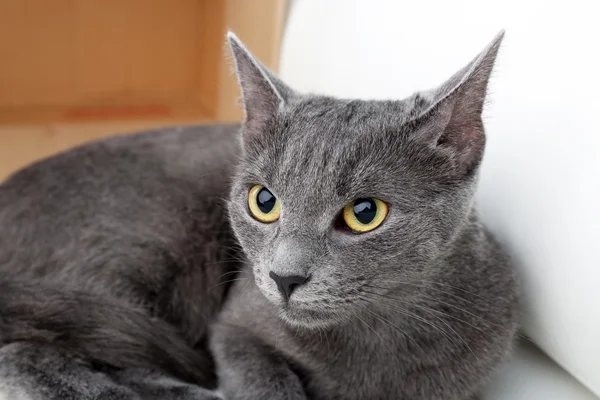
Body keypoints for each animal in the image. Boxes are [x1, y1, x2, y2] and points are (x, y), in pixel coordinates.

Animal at [0, 32, 516, 400]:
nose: (285, 277)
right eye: (263, 202)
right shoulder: (235, 324)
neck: (370, 339)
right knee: (26, 352)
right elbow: (263, 378)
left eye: (366, 213)